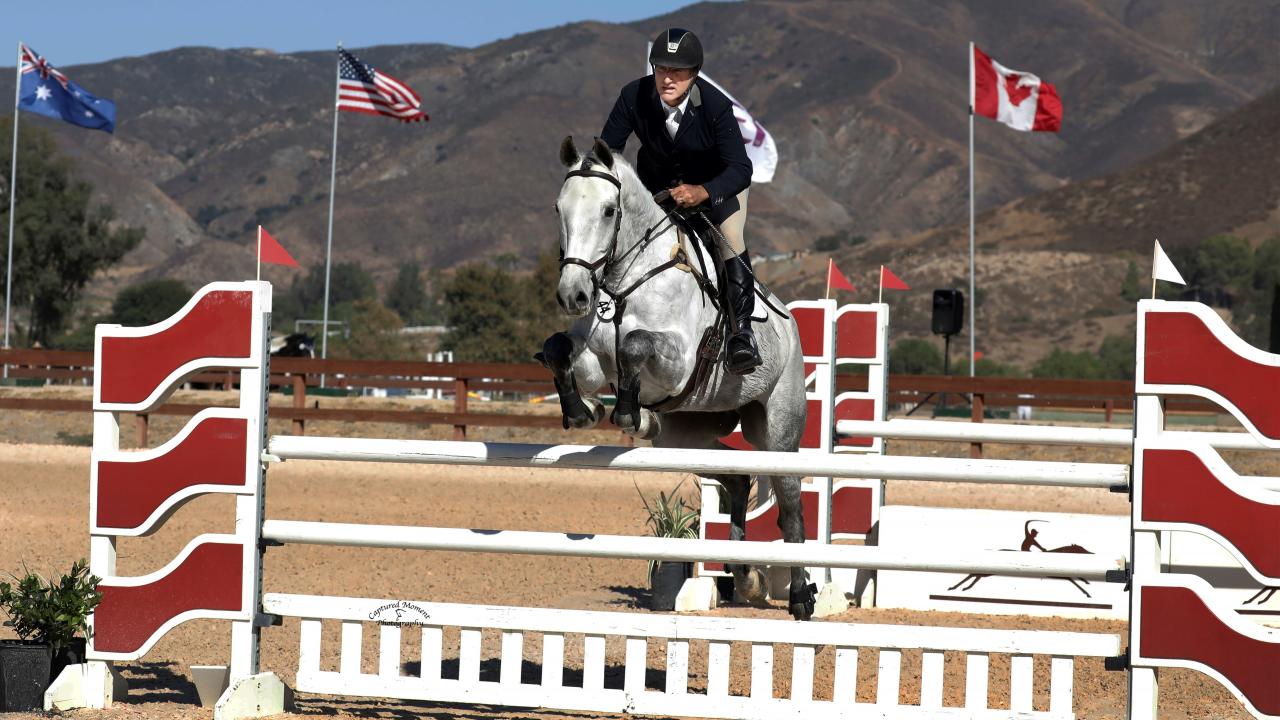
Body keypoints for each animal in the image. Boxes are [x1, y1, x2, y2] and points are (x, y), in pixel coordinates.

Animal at [535, 137, 814, 620]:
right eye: (558, 208)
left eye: (609, 210)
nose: (574, 295)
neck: (623, 283)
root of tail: (789, 322)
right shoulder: (592, 357)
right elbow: (559, 349)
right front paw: (581, 409)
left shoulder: (677, 362)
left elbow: (634, 344)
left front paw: (627, 413)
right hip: (685, 436)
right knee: (737, 478)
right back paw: (745, 575)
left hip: (777, 430)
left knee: (790, 506)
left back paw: (800, 597)